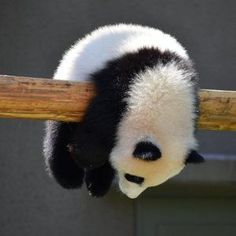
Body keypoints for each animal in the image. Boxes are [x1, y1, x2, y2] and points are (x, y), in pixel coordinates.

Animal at [43, 23, 204, 199]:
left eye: (153, 184)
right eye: (134, 177)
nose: (130, 195)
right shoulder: (120, 88)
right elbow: (96, 132)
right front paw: (84, 157)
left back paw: (98, 185)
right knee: (60, 131)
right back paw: (69, 177)